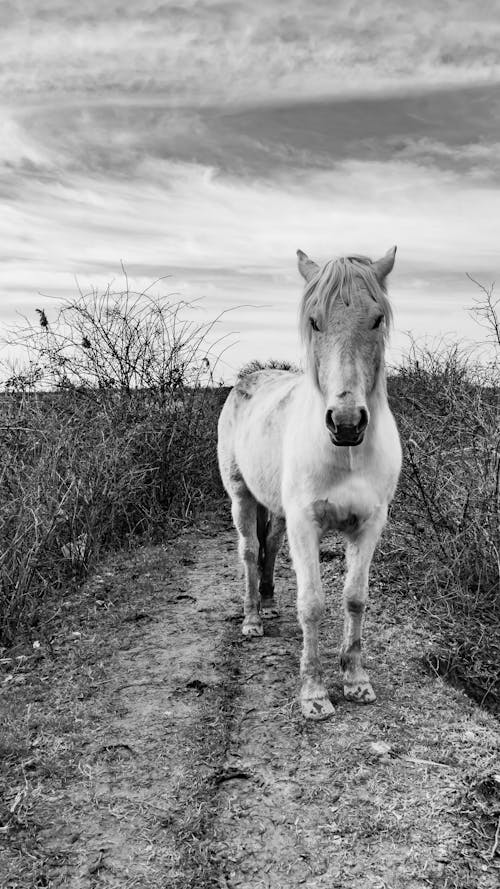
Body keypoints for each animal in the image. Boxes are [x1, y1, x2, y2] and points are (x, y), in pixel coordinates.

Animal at [218, 246, 402, 720]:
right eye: (315, 321)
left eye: (377, 319)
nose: (347, 423)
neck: (346, 455)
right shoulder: (306, 525)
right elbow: (313, 603)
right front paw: (314, 693)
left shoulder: (369, 525)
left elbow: (355, 597)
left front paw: (355, 680)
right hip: (241, 496)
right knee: (250, 551)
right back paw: (252, 619)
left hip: (277, 509)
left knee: (270, 544)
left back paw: (267, 603)